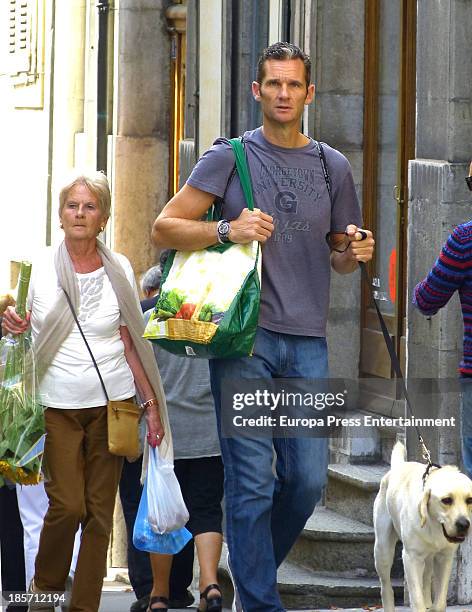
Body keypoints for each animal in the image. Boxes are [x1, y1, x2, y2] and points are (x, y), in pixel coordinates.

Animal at [374, 440, 470, 612]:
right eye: (446, 500)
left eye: (470, 500)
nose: (464, 524)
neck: (434, 525)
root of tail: (399, 466)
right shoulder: (411, 558)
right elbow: (417, 599)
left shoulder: (445, 558)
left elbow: (439, 602)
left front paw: (434, 606)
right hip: (382, 550)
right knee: (386, 588)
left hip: (428, 558)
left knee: (426, 581)